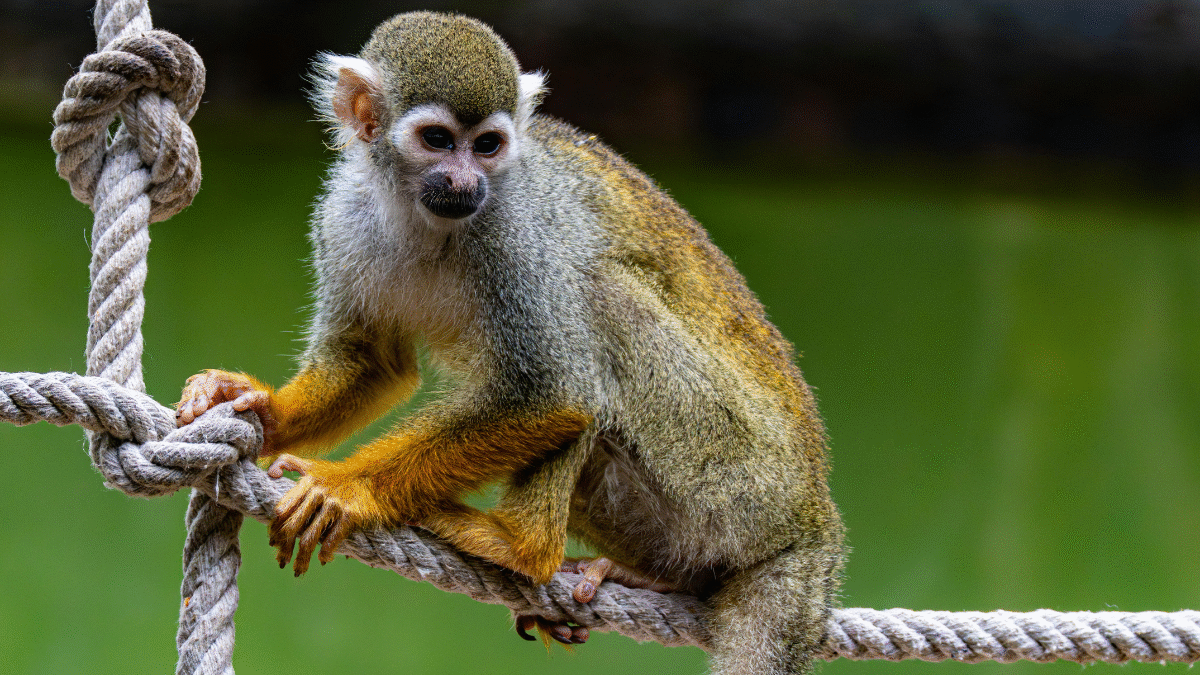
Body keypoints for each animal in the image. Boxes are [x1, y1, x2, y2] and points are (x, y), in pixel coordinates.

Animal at [175, 11, 844, 674]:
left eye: (488, 146)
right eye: (438, 140)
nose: (466, 180)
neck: (427, 216)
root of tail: (813, 525)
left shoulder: (515, 231)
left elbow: (557, 392)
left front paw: (349, 489)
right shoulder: (346, 214)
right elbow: (371, 363)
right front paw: (261, 409)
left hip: (735, 476)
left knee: (594, 301)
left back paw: (522, 547)